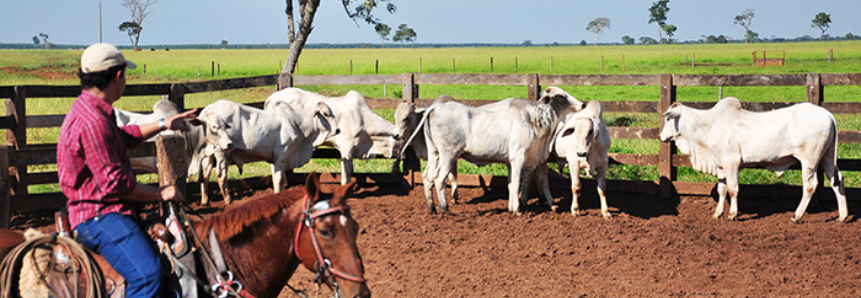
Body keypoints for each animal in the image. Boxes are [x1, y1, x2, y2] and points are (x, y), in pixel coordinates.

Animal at [190, 99, 338, 205]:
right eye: (326, 113)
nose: (337, 130)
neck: (297, 123)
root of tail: (208, 109)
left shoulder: (275, 157)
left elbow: (276, 177)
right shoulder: (282, 152)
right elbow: (279, 178)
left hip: (209, 155)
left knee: (206, 174)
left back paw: (205, 201)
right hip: (222, 152)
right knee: (221, 175)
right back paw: (228, 200)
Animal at [404, 86, 584, 214]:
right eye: (561, 96)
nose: (582, 104)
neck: (533, 119)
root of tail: (436, 108)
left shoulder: (512, 162)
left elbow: (511, 184)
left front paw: (511, 208)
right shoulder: (519, 158)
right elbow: (518, 183)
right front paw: (517, 210)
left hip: (434, 154)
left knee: (427, 177)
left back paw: (432, 208)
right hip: (448, 155)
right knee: (439, 179)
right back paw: (445, 208)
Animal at [660, 96, 848, 222]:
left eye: (669, 118)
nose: (661, 137)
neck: (711, 124)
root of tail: (828, 115)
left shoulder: (731, 163)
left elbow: (733, 189)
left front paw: (732, 214)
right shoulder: (720, 165)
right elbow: (721, 189)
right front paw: (717, 213)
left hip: (809, 161)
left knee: (810, 185)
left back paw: (797, 215)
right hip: (827, 157)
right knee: (837, 181)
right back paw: (842, 215)